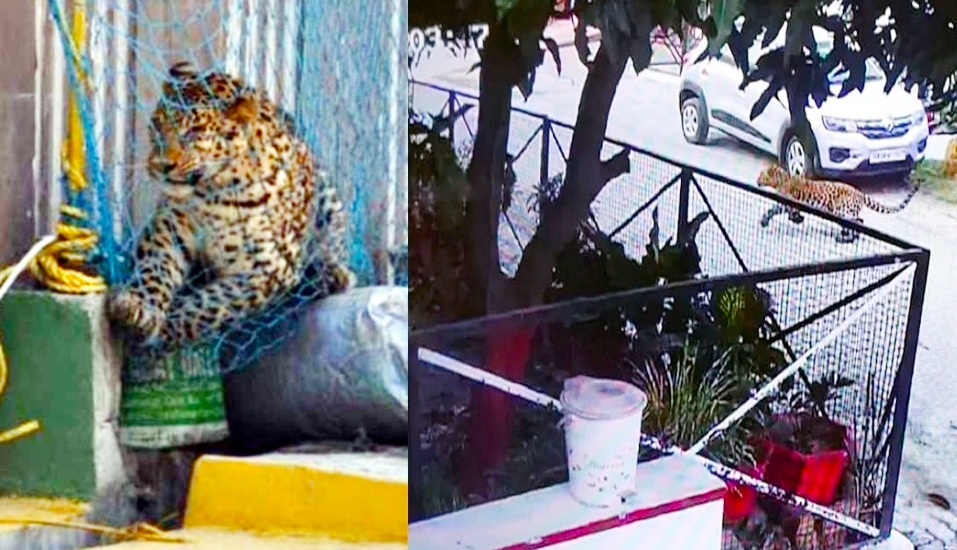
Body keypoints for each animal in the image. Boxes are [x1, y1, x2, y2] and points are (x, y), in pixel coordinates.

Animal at [108, 64, 355, 349]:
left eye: (195, 132)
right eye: (157, 125)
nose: (161, 165)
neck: (213, 194)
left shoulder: (267, 270)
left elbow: (209, 306)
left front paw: (166, 330)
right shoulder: (170, 230)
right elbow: (154, 270)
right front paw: (138, 308)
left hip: (326, 198)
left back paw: (333, 275)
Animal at [756, 164, 921, 243]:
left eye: (761, 175)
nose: (756, 180)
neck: (781, 180)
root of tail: (860, 194)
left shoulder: (789, 202)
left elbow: (783, 210)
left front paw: (797, 219)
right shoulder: (785, 203)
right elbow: (773, 210)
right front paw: (764, 221)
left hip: (840, 210)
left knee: (857, 222)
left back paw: (845, 238)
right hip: (846, 211)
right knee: (859, 221)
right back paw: (846, 235)